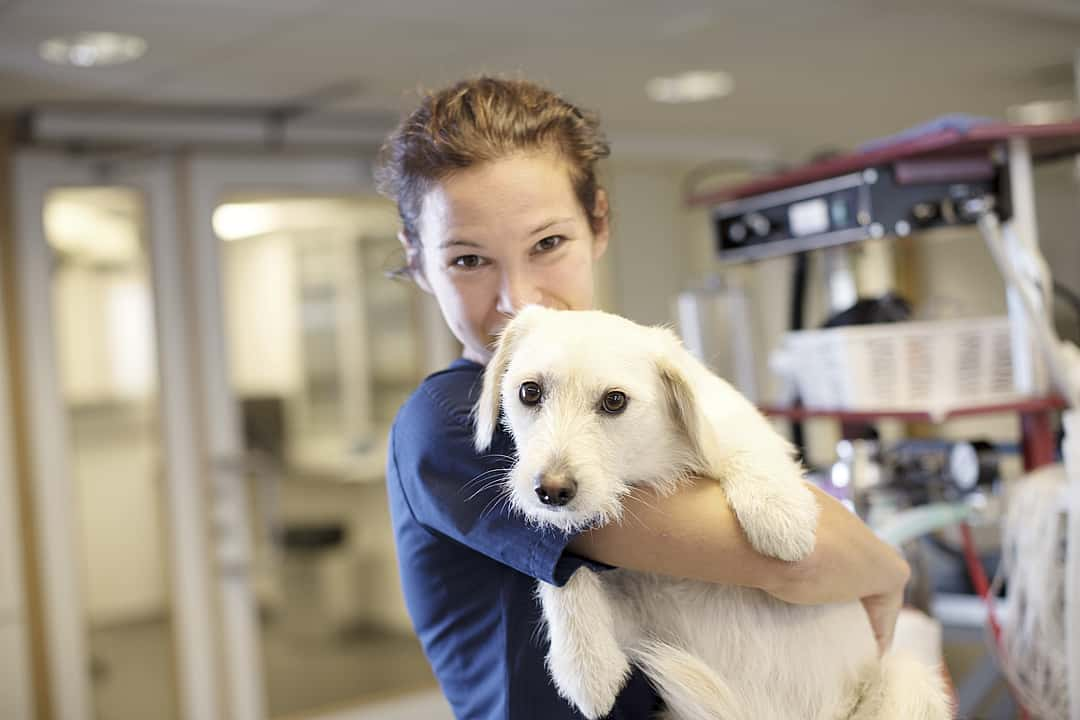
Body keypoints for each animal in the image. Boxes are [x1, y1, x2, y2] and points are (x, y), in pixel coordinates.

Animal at [477, 306, 950, 720]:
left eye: (614, 402)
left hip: (907, 679)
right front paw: (586, 668)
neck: (651, 466)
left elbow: (741, 446)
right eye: (529, 392)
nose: (551, 491)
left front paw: (780, 518)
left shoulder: (734, 424)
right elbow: (562, 574)